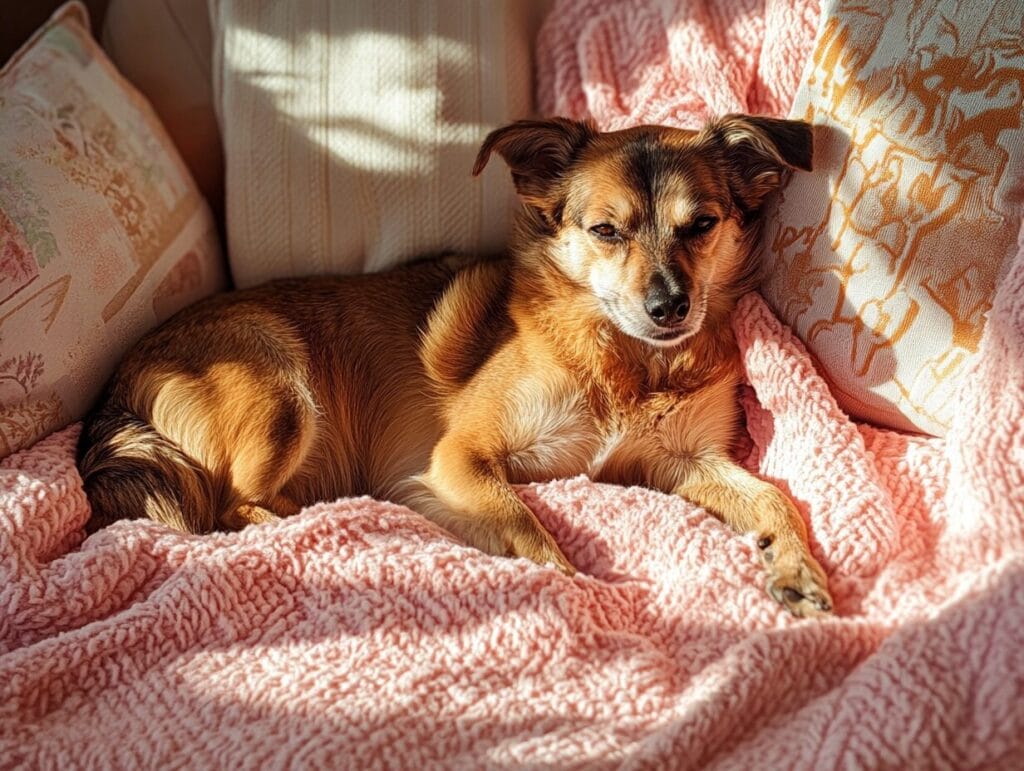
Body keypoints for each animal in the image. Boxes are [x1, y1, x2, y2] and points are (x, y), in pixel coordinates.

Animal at [77, 114, 831, 618]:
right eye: (605, 231)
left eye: (701, 224)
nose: (671, 306)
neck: (627, 358)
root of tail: (117, 388)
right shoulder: (461, 458)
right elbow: (529, 530)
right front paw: (576, 591)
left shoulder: (685, 461)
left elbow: (772, 498)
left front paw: (797, 566)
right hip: (281, 392)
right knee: (231, 509)